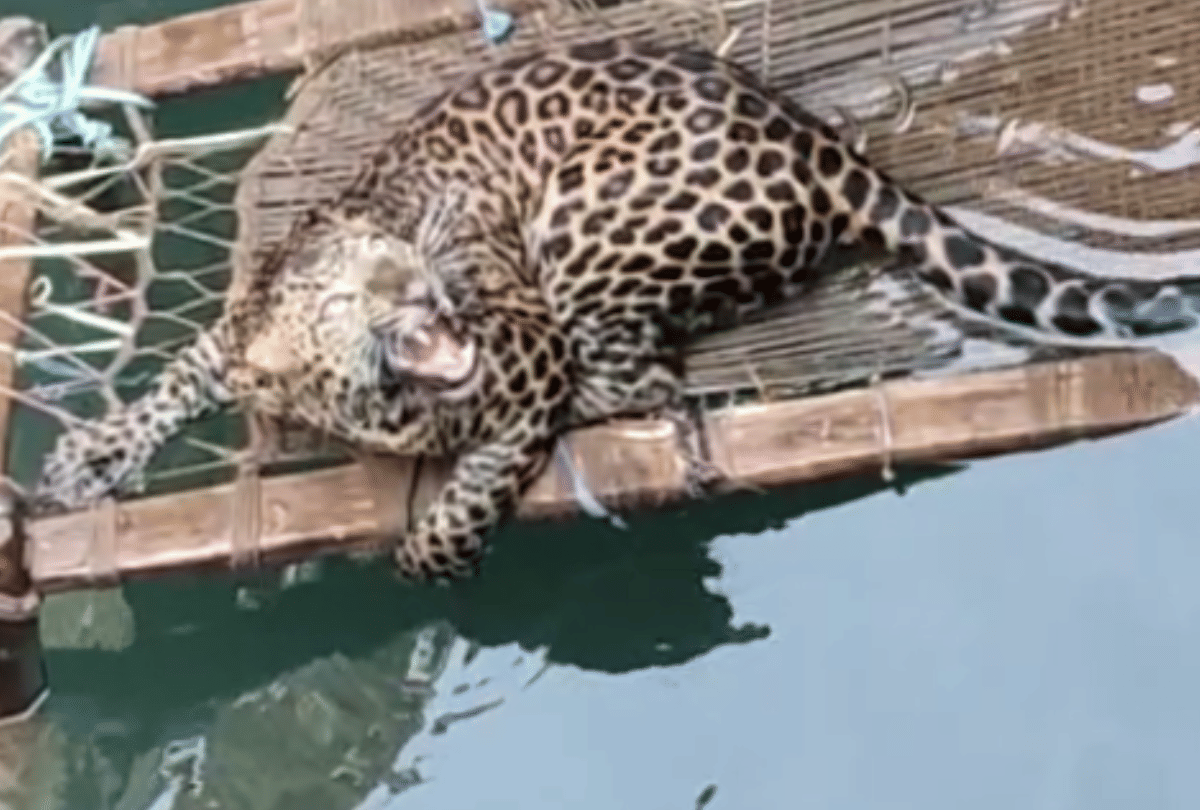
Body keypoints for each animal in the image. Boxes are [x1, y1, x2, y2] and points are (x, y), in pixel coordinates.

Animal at [35, 37, 1200, 582]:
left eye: (398, 255)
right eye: (357, 293)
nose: (424, 287)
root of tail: (826, 146)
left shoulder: (520, 363)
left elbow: (467, 500)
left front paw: (430, 556)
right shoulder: (236, 342)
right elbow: (176, 376)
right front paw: (87, 458)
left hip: (584, 229)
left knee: (653, 379)